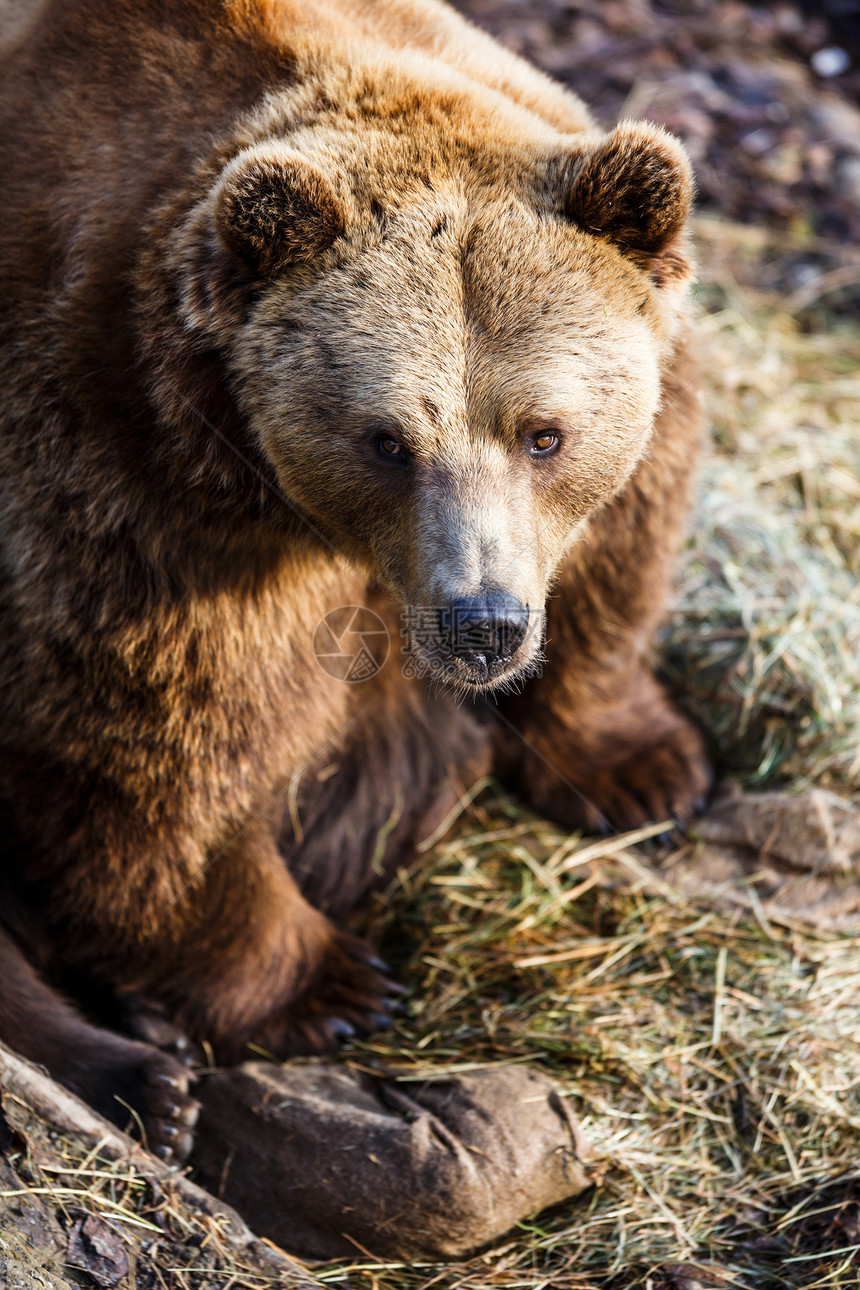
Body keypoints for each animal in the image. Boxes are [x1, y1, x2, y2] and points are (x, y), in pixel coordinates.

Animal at [0, 0, 711, 1161]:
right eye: (385, 441)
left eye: (545, 434)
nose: (481, 624)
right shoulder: (126, 495)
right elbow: (156, 756)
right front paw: (326, 984)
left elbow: (620, 550)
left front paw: (642, 767)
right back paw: (146, 1072)